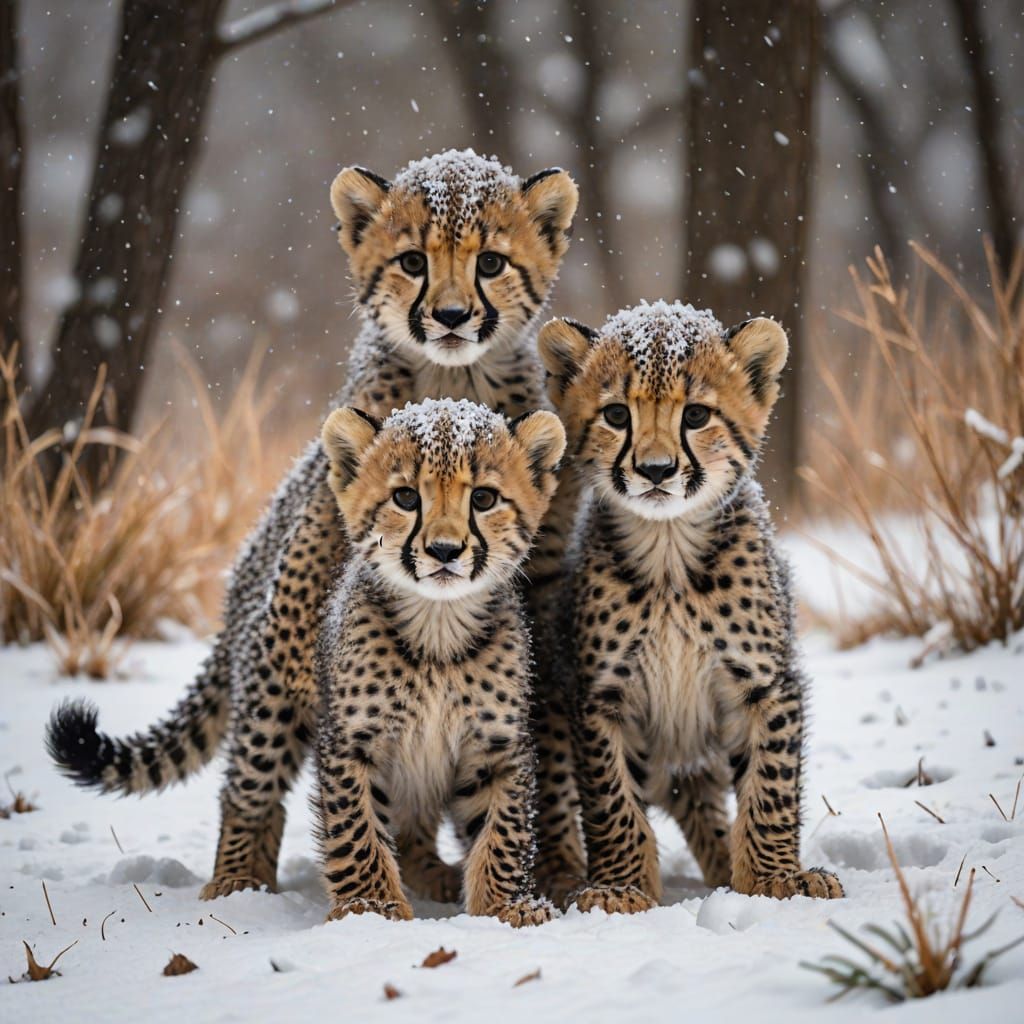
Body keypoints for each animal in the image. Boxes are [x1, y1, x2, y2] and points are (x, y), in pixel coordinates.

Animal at [314, 397, 565, 926]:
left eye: (484, 499)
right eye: (406, 498)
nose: (445, 550)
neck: (437, 630)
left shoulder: (496, 744)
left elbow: (502, 829)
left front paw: (505, 906)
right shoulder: (351, 740)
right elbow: (357, 828)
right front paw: (371, 906)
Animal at [537, 300, 844, 915]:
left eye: (697, 415)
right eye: (616, 415)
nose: (656, 470)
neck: (669, 552)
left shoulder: (767, 684)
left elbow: (770, 788)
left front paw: (776, 878)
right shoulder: (597, 695)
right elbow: (611, 800)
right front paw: (620, 885)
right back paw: (562, 878)